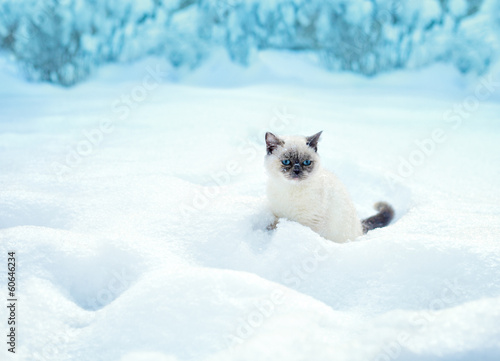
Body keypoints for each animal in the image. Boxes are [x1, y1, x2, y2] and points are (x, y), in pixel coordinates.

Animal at [266, 130, 394, 242]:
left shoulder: (310, 221)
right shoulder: (278, 215)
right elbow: (275, 225)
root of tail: (360, 228)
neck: (291, 189)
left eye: (307, 162)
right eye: (286, 162)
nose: (297, 171)